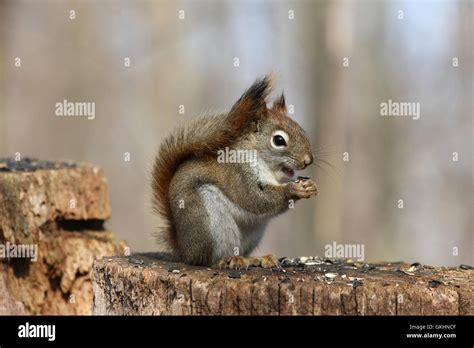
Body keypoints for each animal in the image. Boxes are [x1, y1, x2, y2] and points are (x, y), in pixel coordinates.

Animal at [153, 74, 318, 270]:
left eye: (302, 130)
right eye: (279, 140)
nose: (308, 160)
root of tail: (184, 249)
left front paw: (311, 186)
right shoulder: (238, 173)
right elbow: (254, 198)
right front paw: (293, 190)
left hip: (253, 234)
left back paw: (256, 258)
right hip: (207, 221)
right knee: (206, 259)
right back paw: (225, 260)